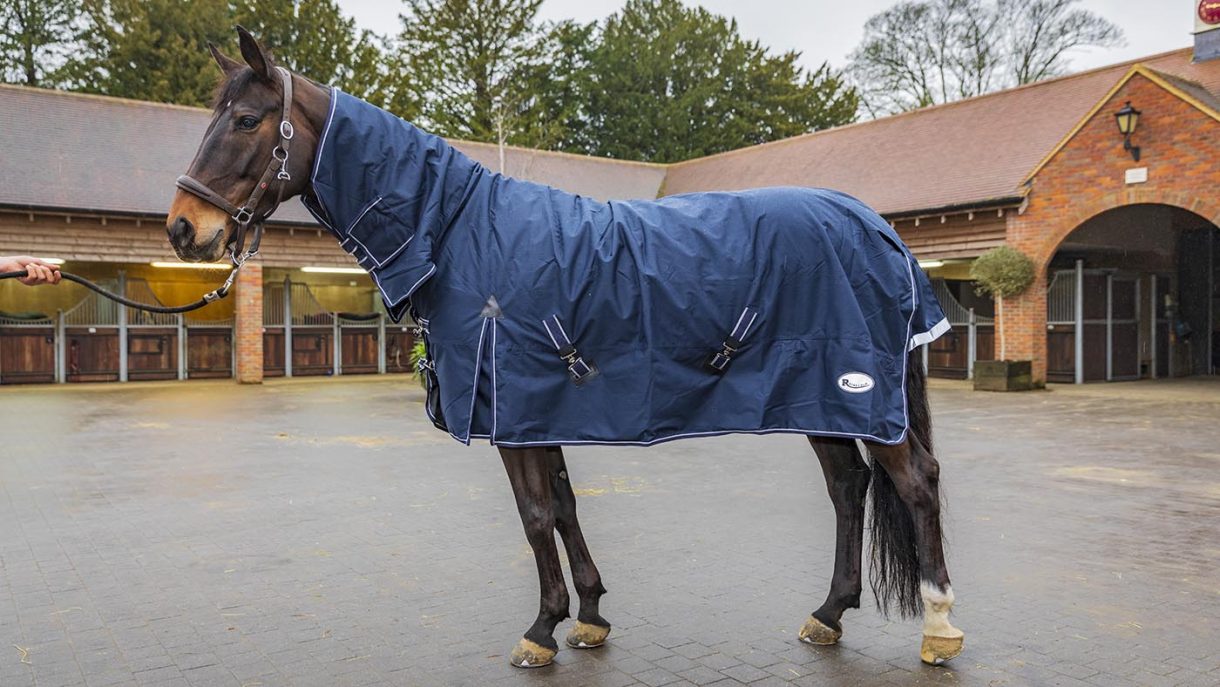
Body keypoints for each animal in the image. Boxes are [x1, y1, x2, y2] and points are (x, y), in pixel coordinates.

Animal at [167, 27, 964, 669]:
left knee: (917, 480)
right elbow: (565, 505)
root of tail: (876, 227)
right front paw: (590, 615)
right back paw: (828, 614)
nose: (183, 228)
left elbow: (535, 515)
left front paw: (541, 630)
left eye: (246, 119)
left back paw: (939, 626)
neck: (457, 231)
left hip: (858, 395)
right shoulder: (538, 408)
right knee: (849, 487)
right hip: (818, 398)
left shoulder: (513, 406)